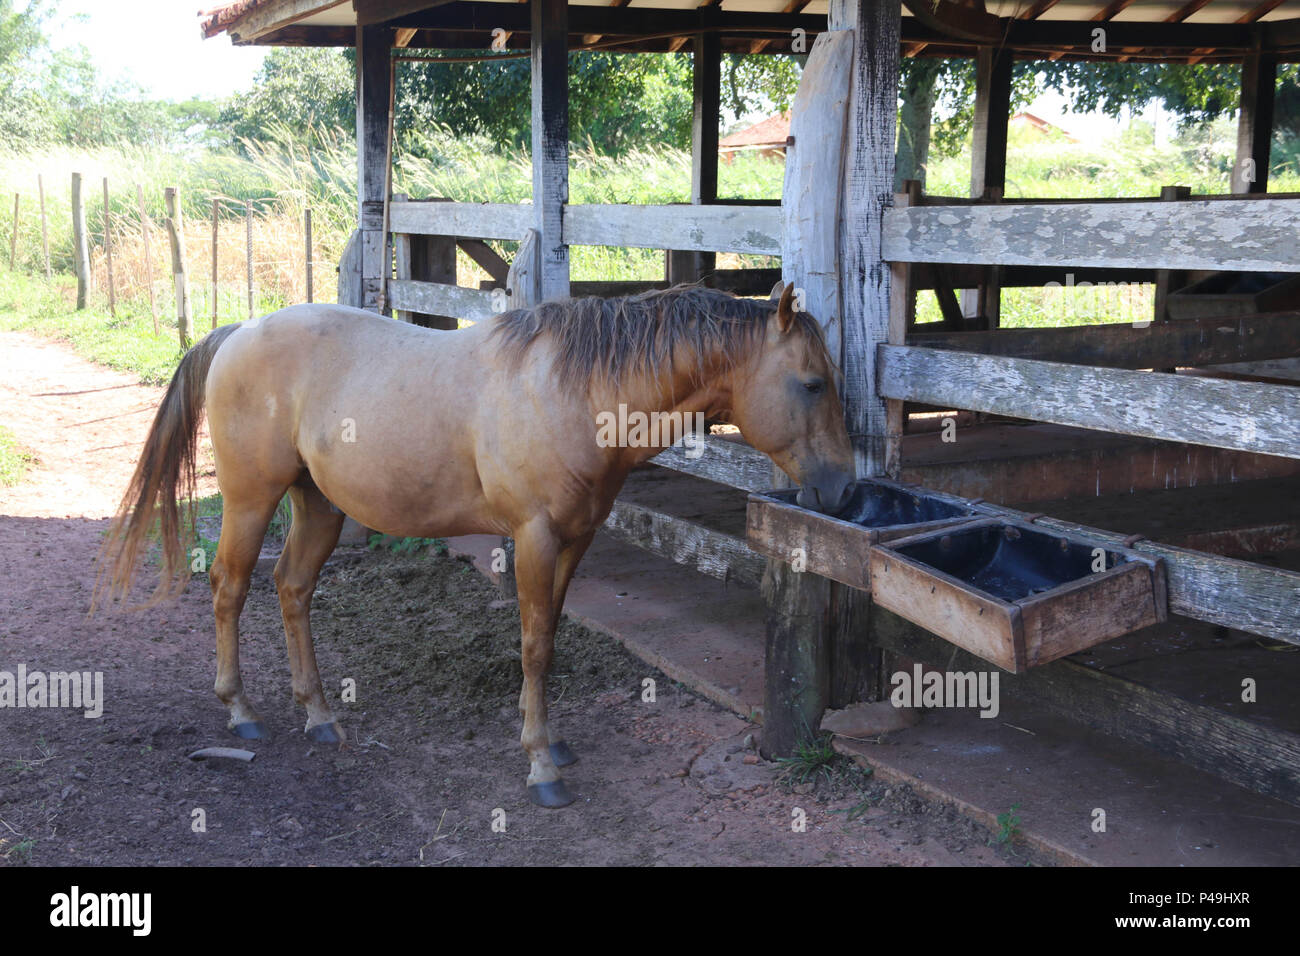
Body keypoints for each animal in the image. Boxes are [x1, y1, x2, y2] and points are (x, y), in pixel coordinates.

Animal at [98, 283, 852, 806]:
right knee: (230, 586)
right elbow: (535, 644)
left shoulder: (574, 541)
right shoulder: (535, 539)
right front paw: (541, 765)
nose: (844, 487)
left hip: (318, 506)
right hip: (253, 500)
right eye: (812, 384)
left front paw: (549, 739)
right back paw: (241, 711)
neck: (573, 390)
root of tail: (239, 333)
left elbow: (549, 637)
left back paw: (318, 714)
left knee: (292, 588)